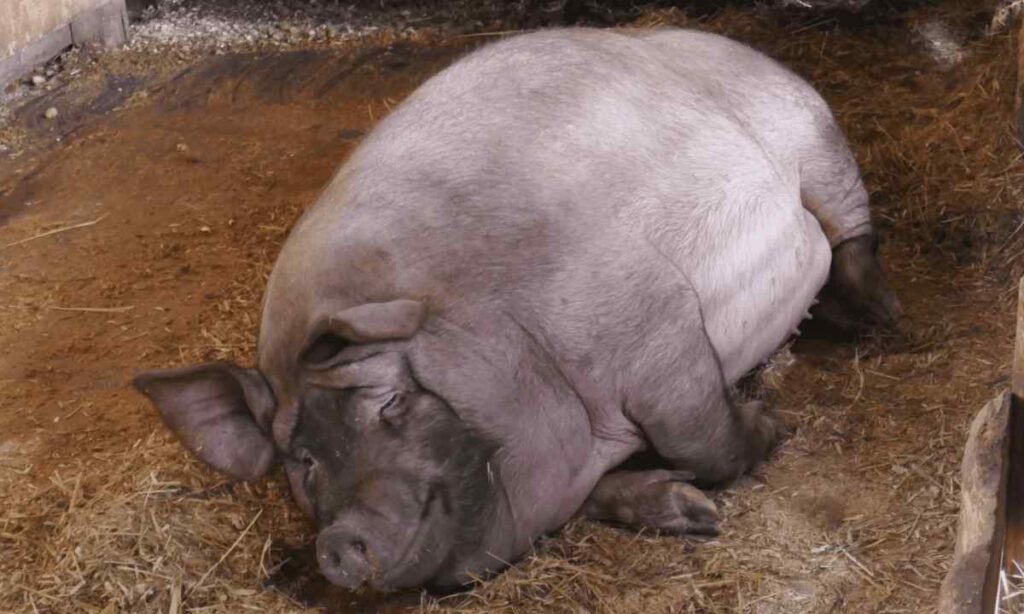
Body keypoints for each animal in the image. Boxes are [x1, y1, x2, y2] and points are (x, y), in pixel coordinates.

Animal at [132, 27, 900, 591]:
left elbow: (702, 436)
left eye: (391, 403)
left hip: (816, 138)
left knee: (850, 235)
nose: (344, 540)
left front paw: (767, 431)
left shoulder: (655, 326)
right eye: (303, 460)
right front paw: (686, 511)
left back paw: (877, 318)